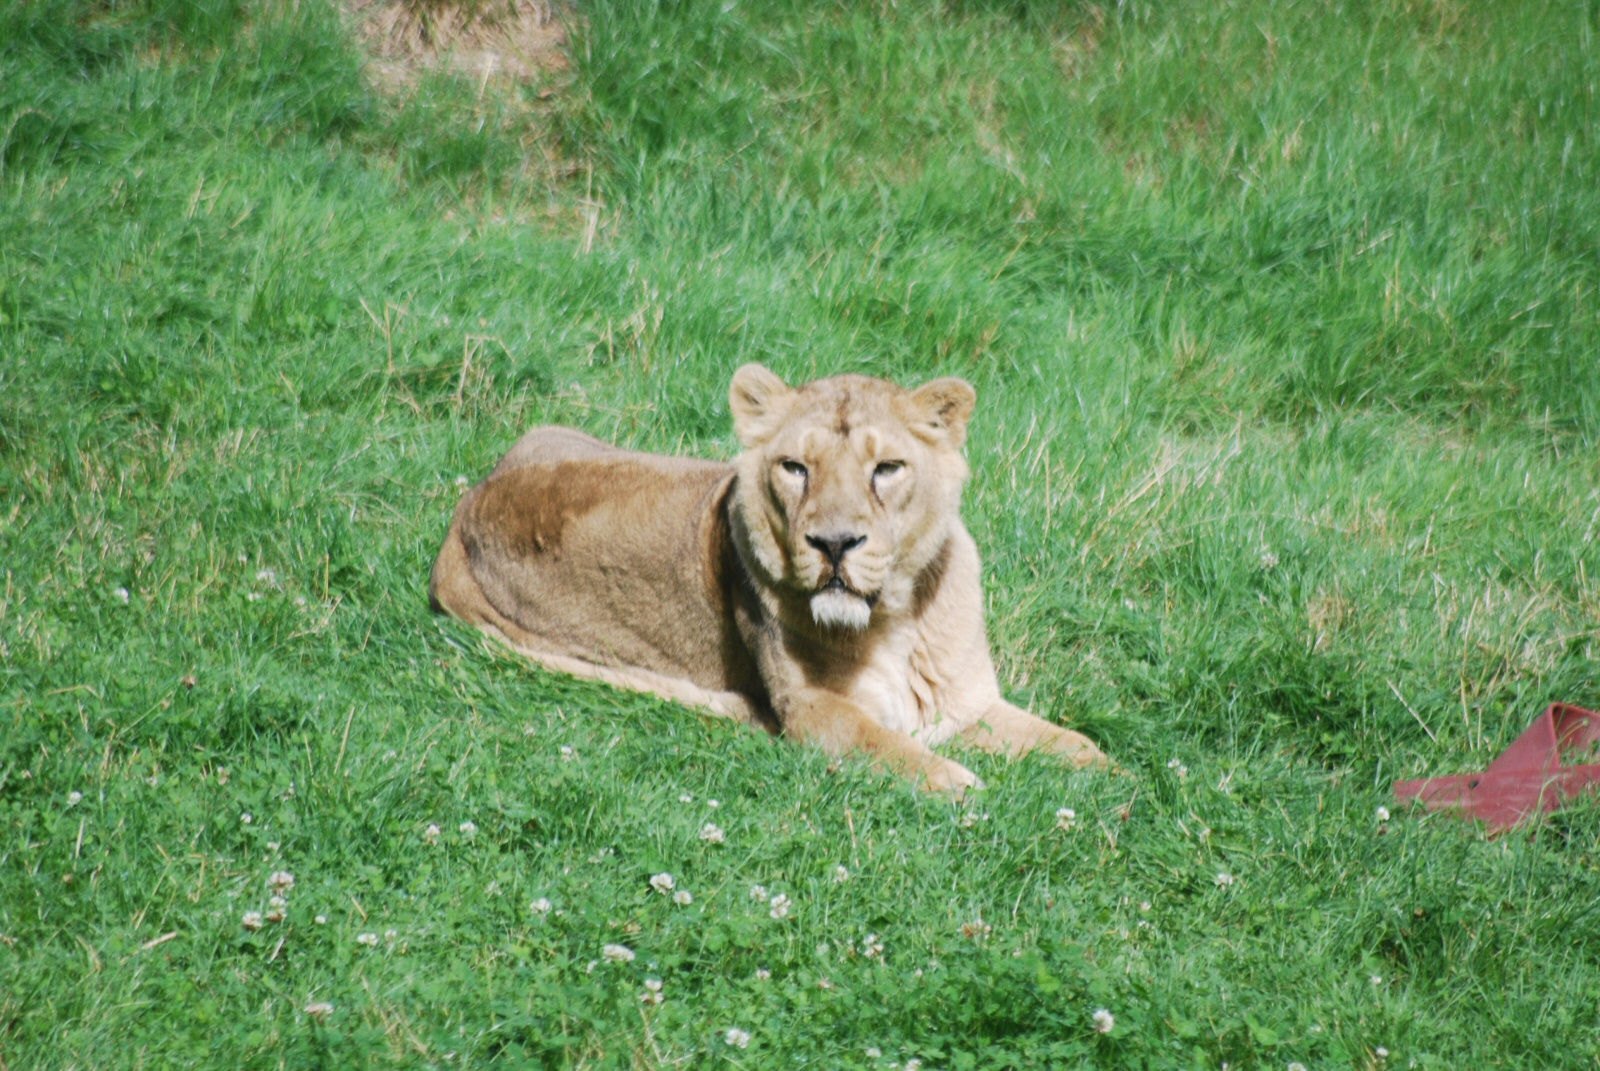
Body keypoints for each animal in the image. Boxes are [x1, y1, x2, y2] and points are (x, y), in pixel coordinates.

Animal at [429, 364, 1107, 793]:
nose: (834, 543)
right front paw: (957, 783)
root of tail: (468, 506)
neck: (898, 620)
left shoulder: (970, 704)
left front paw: (1119, 782)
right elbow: (881, 742)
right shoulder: (809, 709)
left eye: (887, 468)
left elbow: (1076, 746)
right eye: (795, 468)